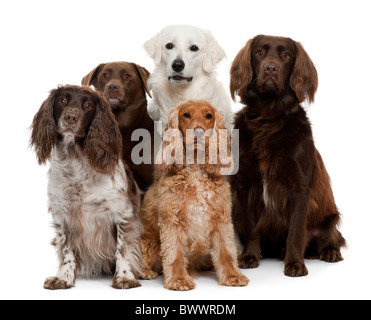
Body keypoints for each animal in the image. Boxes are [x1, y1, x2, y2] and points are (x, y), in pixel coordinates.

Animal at [231, 33, 348, 276]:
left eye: (285, 55)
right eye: (259, 52)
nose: (270, 68)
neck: (268, 117)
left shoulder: (299, 187)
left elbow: (295, 231)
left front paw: (295, 263)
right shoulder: (245, 185)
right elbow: (252, 227)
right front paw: (250, 256)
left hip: (329, 218)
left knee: (333, 238)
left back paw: (329, 253)